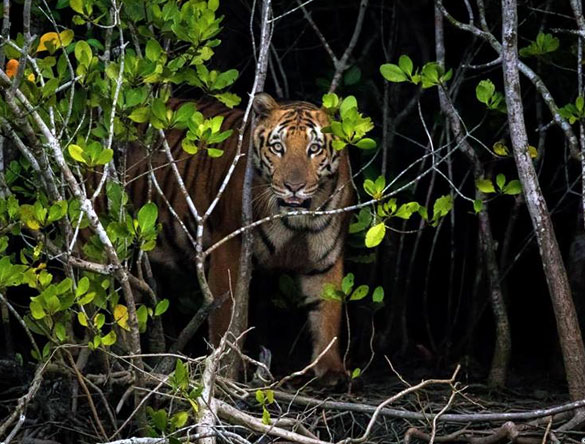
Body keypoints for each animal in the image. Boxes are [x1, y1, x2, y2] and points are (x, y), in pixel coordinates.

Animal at [124, 92, 352, 384]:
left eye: (314, 149)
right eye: (278, 148)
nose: (294, 187)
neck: (296, 222)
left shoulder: (326, 260)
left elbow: (328, 311)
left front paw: (331, 370)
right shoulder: (230, 250)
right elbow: (227, 318)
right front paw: (224, 371)